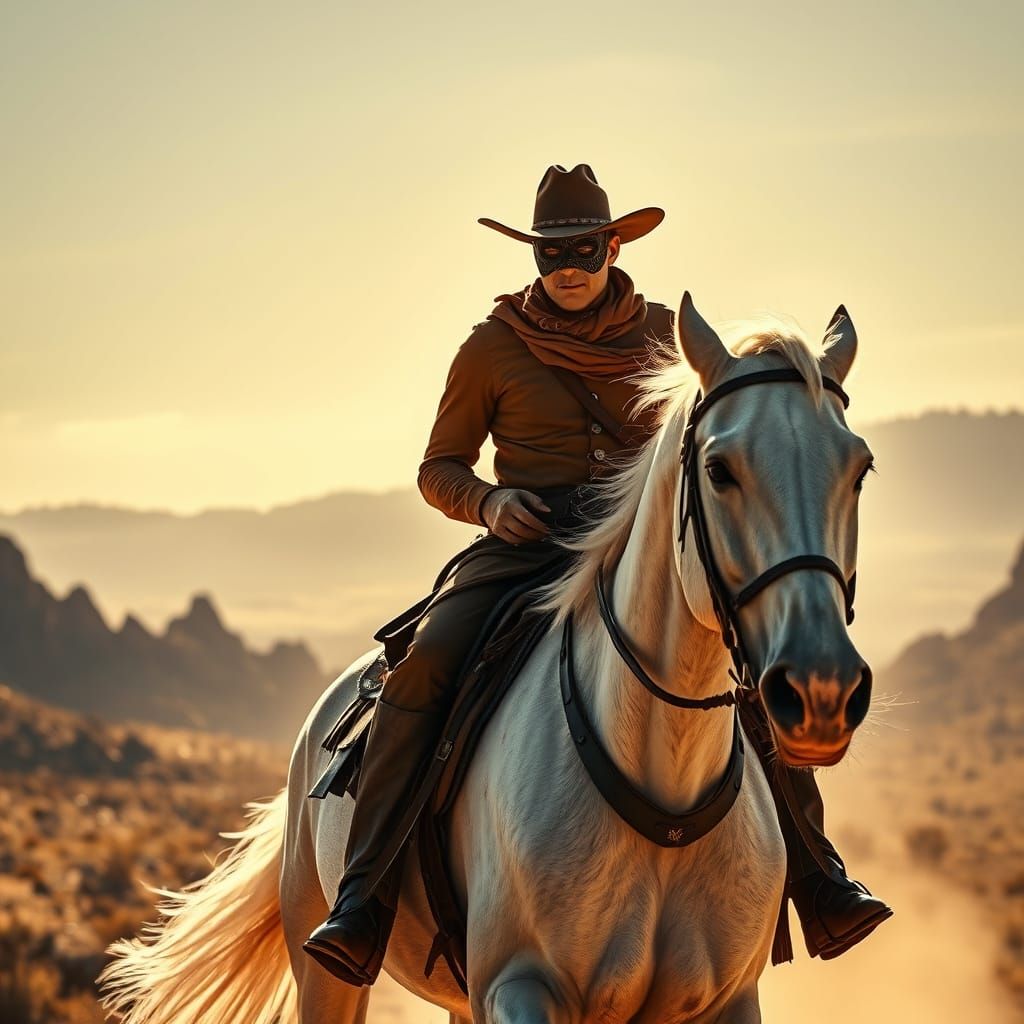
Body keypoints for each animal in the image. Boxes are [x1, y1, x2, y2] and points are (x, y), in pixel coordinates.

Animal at [99, 292, 873, 1023]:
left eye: (860, 468)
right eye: (719, 468)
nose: (821, 689)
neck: (662, 783)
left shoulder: (727, 1000)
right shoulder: (520, 987)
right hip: (325, 966)